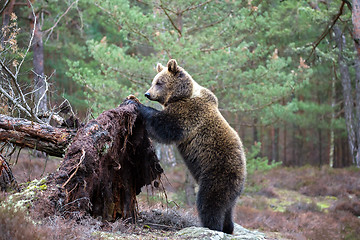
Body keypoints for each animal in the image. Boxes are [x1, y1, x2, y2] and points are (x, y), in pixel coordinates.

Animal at [125, 59, 246, 233]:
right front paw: (131, 96)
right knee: (228, 209)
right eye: (154, 81)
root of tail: (242, 177)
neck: (182, 95)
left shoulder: (190, 113)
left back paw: (211, 226)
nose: (147, 94)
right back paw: (228, 228)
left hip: (217, 172)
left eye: (159, 82)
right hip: (230, 190)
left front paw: (136, 103)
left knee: (209, 202)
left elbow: (166, 126)